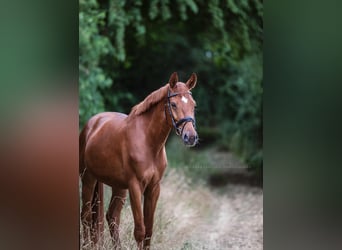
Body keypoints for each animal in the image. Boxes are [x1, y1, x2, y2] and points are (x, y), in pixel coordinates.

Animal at [79, 72, 198, 248]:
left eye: (194, 105)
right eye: (174, 104)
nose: (190, 137)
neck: (148, 142)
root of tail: (91, 125)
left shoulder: (154, 188)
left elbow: (148, 231)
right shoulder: (135, 186)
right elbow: (140, 231)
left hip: (118, 186)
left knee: (112, 216)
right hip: (88, 179)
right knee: (86, 216)